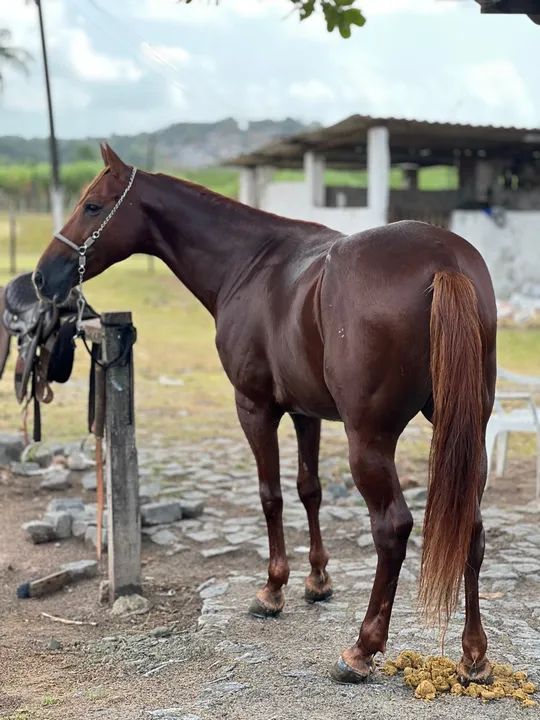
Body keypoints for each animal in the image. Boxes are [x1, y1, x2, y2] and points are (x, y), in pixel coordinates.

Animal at [34, 144, 497, 685]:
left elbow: (270, 495)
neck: (252, 264)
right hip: (468, 435)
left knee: (392, 529)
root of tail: (443, 262)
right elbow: (309, 490)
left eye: (92, 205)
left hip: (370, 440)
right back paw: (474, 655)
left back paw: (361, 649)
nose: (42, 276)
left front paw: (273, 589)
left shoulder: (255, 407)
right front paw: (318, 580)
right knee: (471, 529)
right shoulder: (306, 412)